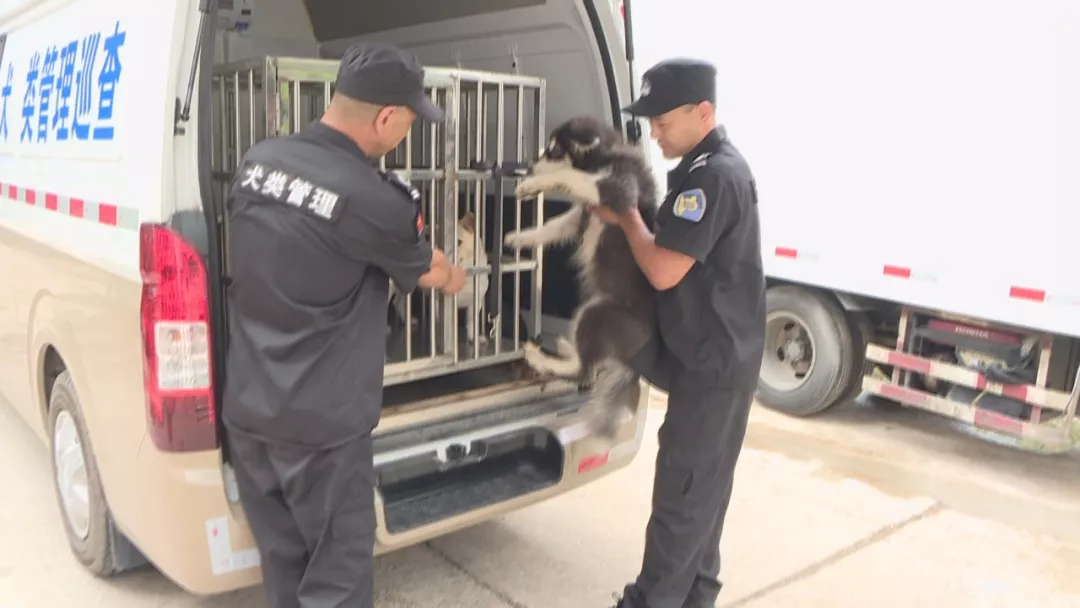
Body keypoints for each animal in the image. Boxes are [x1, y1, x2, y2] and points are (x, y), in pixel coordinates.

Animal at [389, 212, 489, 344]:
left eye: (459, 242)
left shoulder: (475, 301)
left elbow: (472, 321)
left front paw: (474, 337)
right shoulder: (439, 304)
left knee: (397, 301)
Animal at [503, 115, 660, 439]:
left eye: (553, 152)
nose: (529, 167)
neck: (605, 158)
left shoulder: (618, 190)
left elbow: (570, 175)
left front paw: (534, 184)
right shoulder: (580, 216)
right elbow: (553, 225)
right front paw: (521, 238)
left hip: (598, 313)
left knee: (584, 371)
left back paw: (542, 357)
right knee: (587, 364)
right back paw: (565, 349)